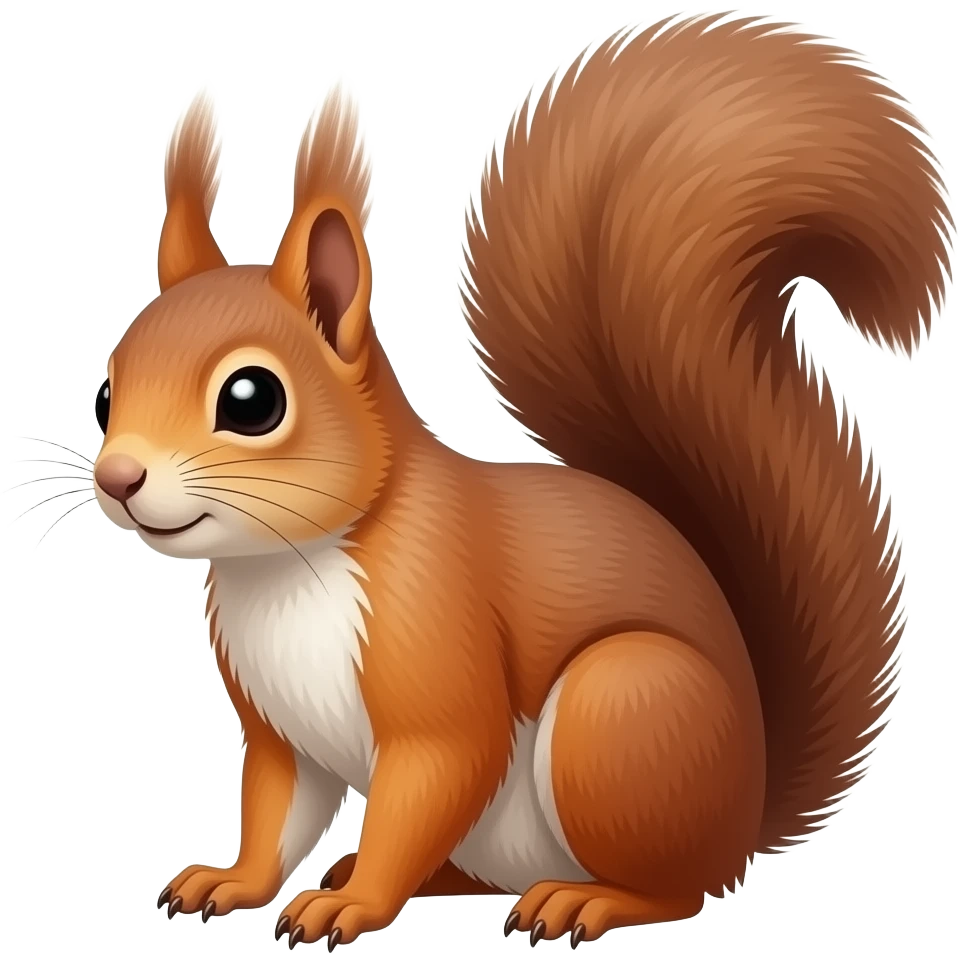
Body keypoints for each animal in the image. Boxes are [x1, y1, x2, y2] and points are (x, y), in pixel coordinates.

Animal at [94, 11, 951, 950]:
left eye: (253, 400)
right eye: (105, 392)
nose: (118, 477)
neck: (285, 568)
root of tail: (747, 815)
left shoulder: (440, 653)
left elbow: (434, 773)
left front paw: (352, 907)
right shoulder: (282, 732)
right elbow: (278, 812)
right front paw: (235, 881)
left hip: (622, 717)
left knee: (677, 887)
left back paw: (585, 900)